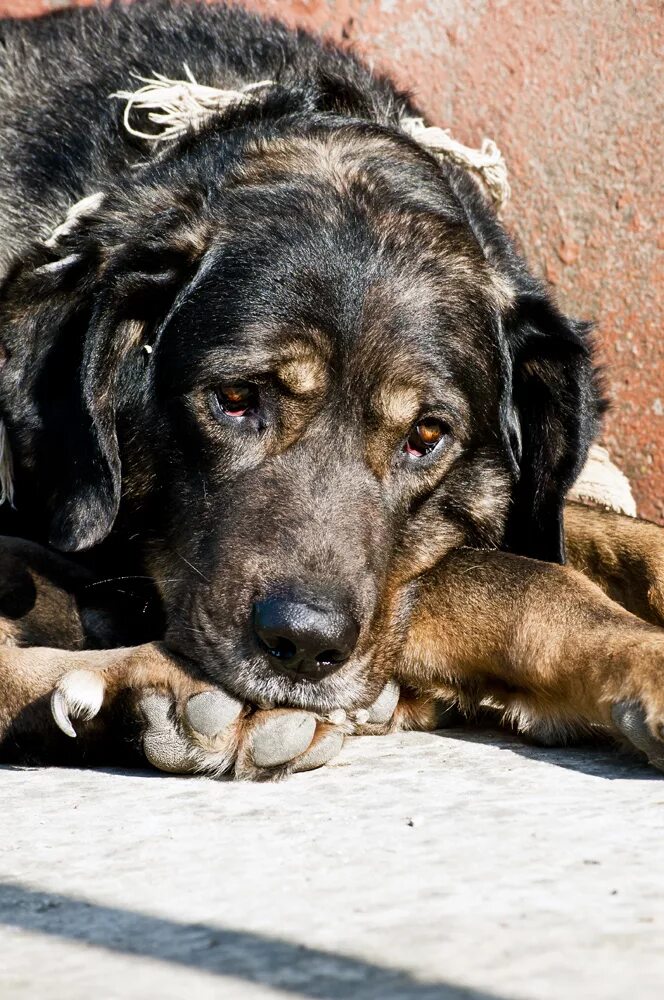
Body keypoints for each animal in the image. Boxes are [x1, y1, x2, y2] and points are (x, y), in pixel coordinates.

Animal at [1, 0, 664, 780]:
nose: (304, 645)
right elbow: (513, 579)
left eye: (426, 435)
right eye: (235, 399)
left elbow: (604, 534)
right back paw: (142, 690)